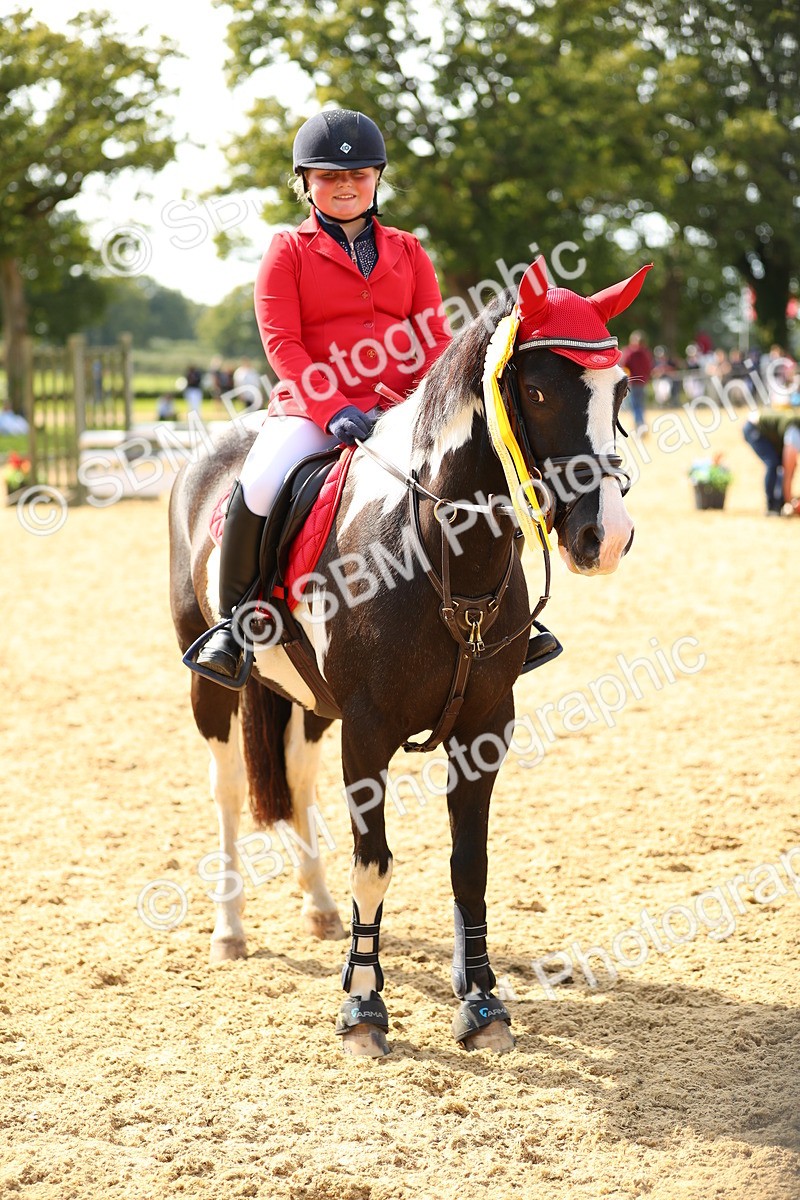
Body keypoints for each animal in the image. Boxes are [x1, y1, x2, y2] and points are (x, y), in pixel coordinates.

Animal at [168, 255, 650, 1057]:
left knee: (296, 779)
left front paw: (482, 1002)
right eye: (540, 390)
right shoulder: (368, 732)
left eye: (621, 390)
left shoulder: (484, 727)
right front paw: (363, 1007)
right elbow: (375, 865)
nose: (604, 537)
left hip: (312, 702)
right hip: (213, 687)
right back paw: (230, 930)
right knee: (229, 790)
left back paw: (318, 908)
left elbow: (468, 865)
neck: (436, 552)